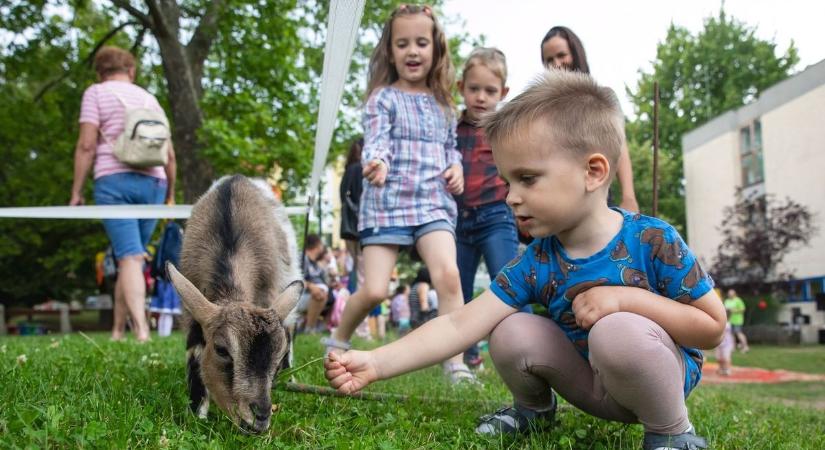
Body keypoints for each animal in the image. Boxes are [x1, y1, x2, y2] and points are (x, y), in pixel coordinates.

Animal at [165, 175, 302, 432]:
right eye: (221, 349)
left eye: (277, 356)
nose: (259, 418)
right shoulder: (191, 305)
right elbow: (194, 349)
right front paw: (197, 413)